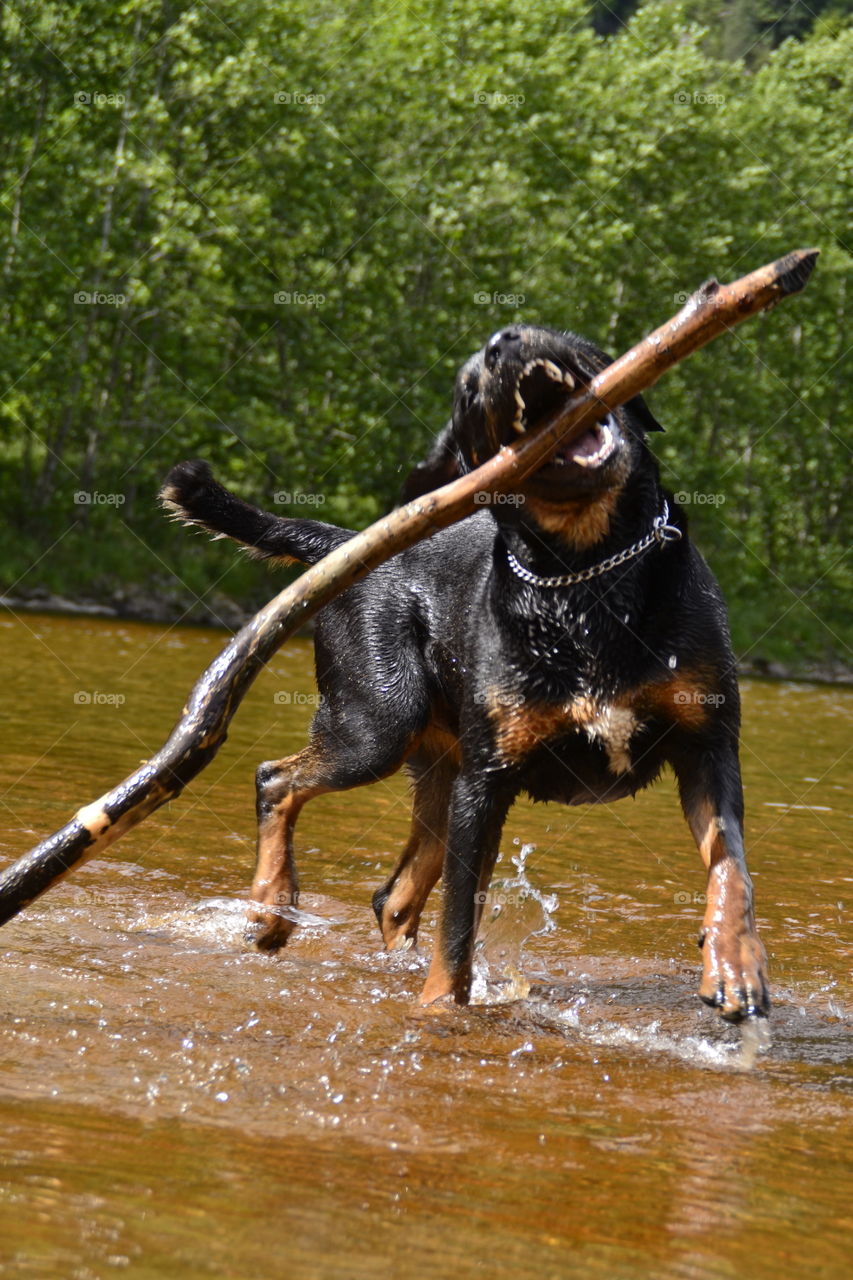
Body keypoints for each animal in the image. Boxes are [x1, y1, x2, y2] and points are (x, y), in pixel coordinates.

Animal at [159, 327, 763, 1018]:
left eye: (564, 335)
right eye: (467, 389)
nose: (504, 339)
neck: (587, 573)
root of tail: (346, 542)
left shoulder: (708, 746)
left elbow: (732, 869)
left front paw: (735, 966)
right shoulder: (488, 779)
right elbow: (457, 927)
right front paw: (439, 1011)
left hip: (439, 767)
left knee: (393, 896)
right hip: (379, 723)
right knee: (278, 780)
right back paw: (271, 910)